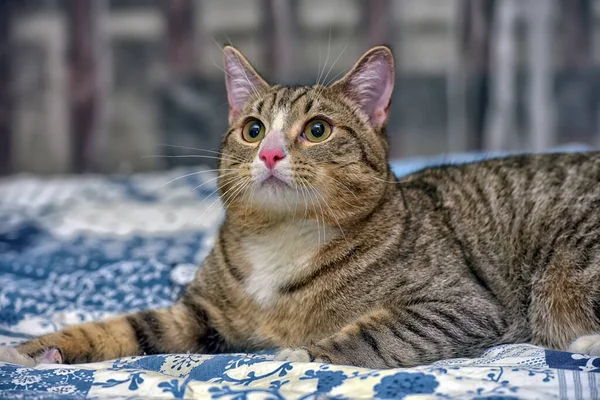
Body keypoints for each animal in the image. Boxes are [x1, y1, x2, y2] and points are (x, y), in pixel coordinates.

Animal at [3, 44, 600, 368]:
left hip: (567, 272)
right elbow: (121, 328)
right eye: (252, 129)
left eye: (316, 130)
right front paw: (33, 349)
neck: (282, 238)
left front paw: (297, 356)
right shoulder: (201, 315)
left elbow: (377, 332)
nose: (269, 151)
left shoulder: (458, 305)